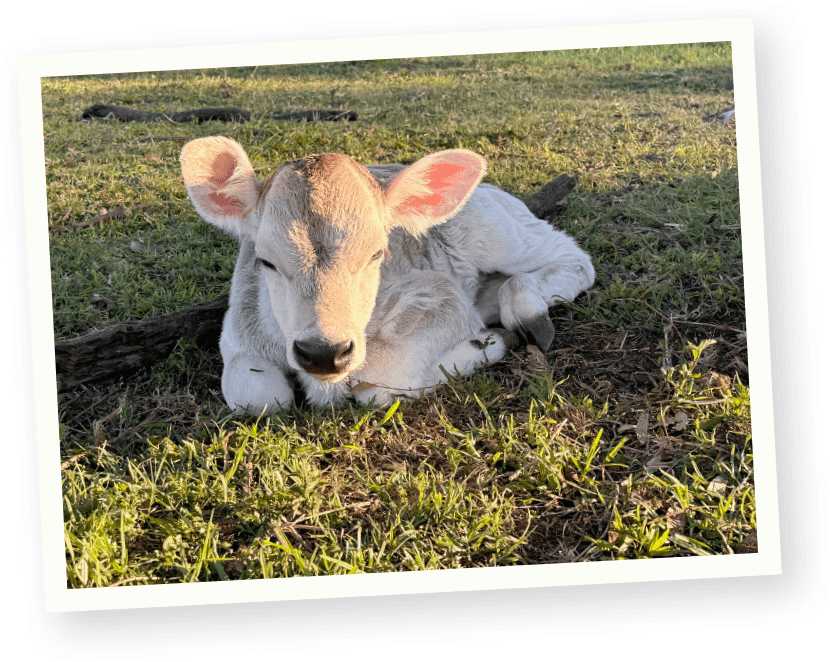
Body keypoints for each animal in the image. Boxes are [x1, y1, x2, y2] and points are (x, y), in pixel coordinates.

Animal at [180, 136, 595, 414]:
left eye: (377, 254)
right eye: (265, 261)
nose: (323, 352)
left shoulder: (442, 299)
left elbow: (380, 380)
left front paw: (486, 343)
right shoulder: (239, 327)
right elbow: (258, 398)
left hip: (498, 230)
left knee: (572, 258)